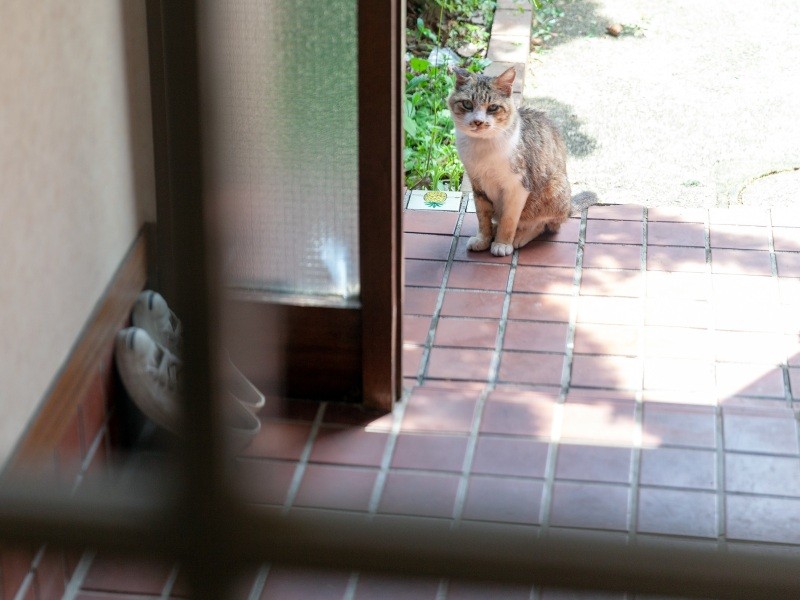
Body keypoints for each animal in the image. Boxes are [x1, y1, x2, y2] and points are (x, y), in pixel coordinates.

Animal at [446, 67, 596, 256]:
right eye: (467, 104)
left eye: (493, 107)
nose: (478, 122)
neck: (482, 147)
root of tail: (568, 207)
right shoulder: (477, 184)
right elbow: (482, 215)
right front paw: (483, 238)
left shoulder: (517, 186)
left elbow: (509, 219)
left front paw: (502, 243)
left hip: (553, 187)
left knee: (545, 224)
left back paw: (520, 236)